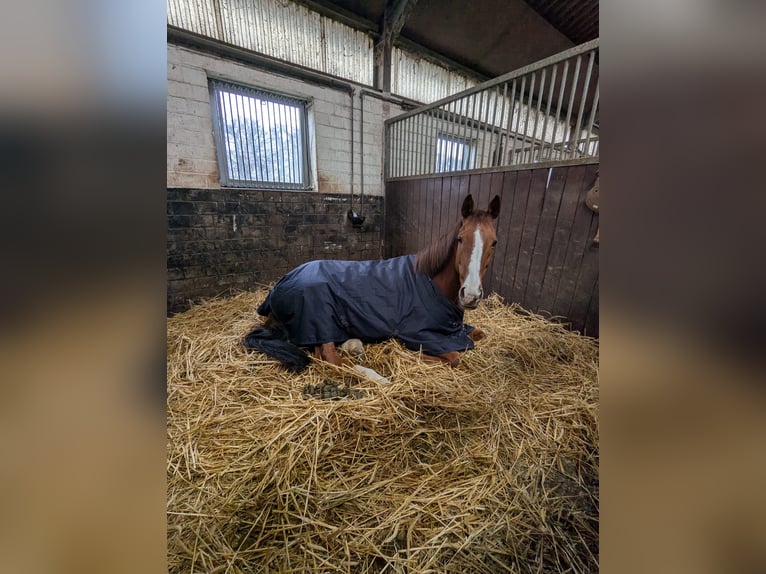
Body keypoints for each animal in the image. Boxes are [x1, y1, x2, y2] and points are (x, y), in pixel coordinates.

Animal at [244, 193, 501, 377]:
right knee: (330, 359)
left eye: (494, 242)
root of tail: (278, 287)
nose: (470, 295)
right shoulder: (418, 333)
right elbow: (455, 356)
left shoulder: (456, 330)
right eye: (460, 239)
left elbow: (480, 334)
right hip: (319, 321)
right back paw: (375, 375)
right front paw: (402, 354)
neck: (431, 283)